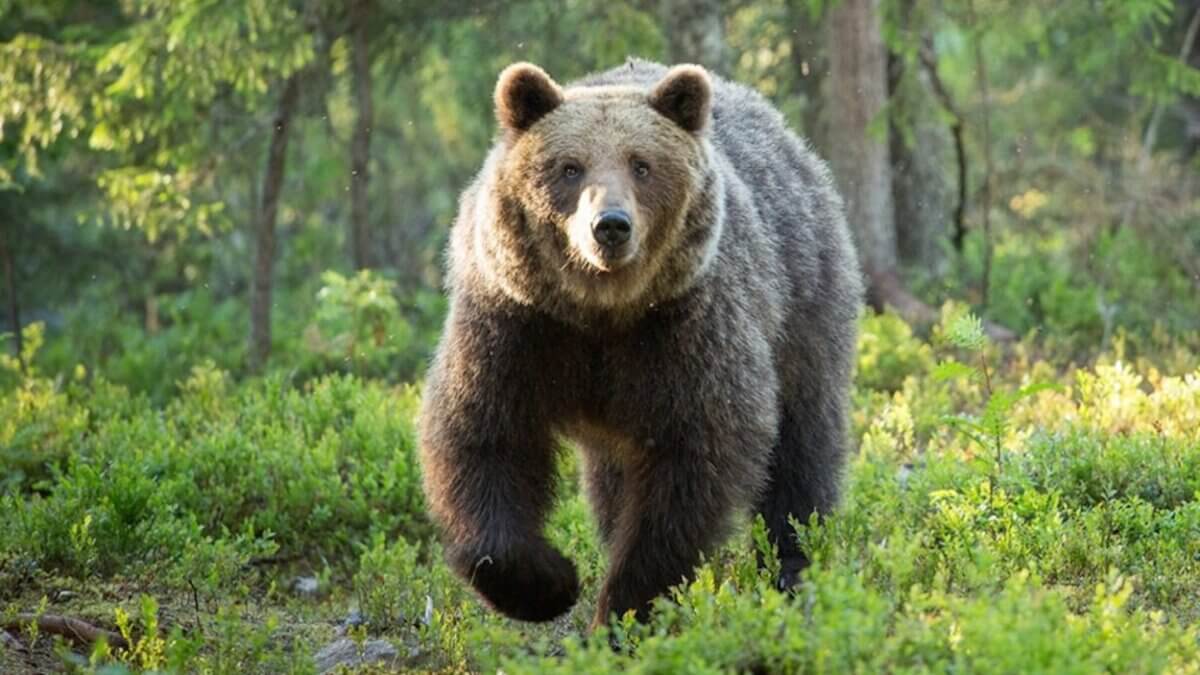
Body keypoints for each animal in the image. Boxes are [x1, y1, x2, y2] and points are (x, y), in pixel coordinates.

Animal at [418, 58, 862, 627]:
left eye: (642, 165)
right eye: (570, 167)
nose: (610, 225)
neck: (601, 312)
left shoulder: (685, 330)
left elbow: (692, 463)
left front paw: (625, 608)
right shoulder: (517, 325)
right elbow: (483, 436)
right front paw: (549, 582)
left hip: (802, 302)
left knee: (802, 443)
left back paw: (795, 565)